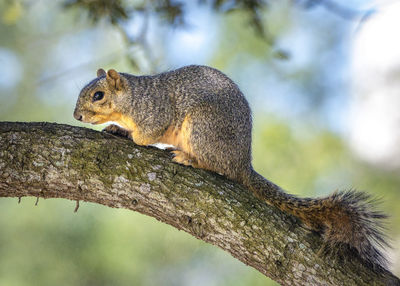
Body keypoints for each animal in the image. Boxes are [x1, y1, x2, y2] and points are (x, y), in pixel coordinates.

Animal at [74, 65, 388, 268]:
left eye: (98, 95)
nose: (76, 115)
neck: (131, 100)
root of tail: (242, 164)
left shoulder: (156, 113)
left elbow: (147, 134)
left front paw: (133, 136)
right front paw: (118, 130)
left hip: (203, 127)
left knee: (217, 167)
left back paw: (189, 157)